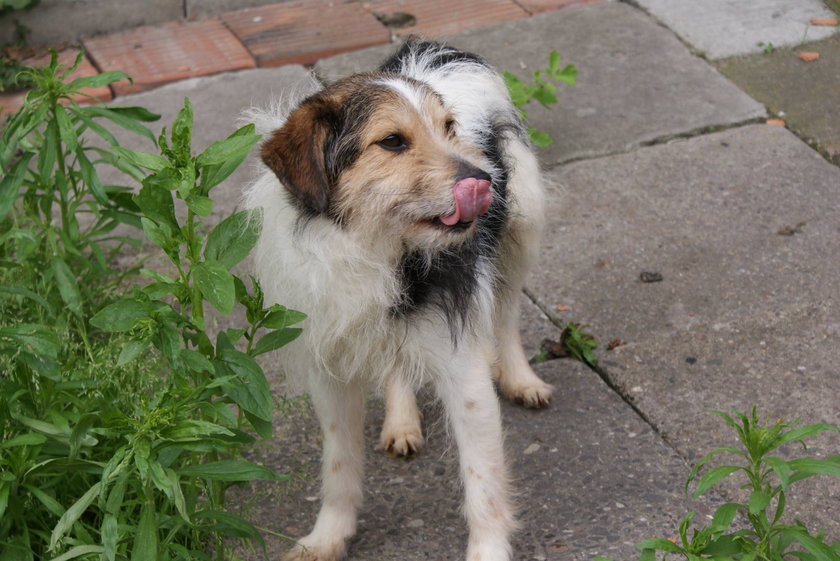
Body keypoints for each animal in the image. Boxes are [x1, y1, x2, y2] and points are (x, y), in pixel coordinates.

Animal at [246, 39, 556, 560]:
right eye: (392, 142)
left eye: (449, 128)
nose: (486, 180)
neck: (378, 249)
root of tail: (428, 49)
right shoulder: (330, 368)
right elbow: (338, 464)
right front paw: (328, 536)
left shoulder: (463, 368)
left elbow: (483, 483)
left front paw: (488, 549)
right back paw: (402, 420)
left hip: (522, 232)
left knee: (507, 313)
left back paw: (520, 378)